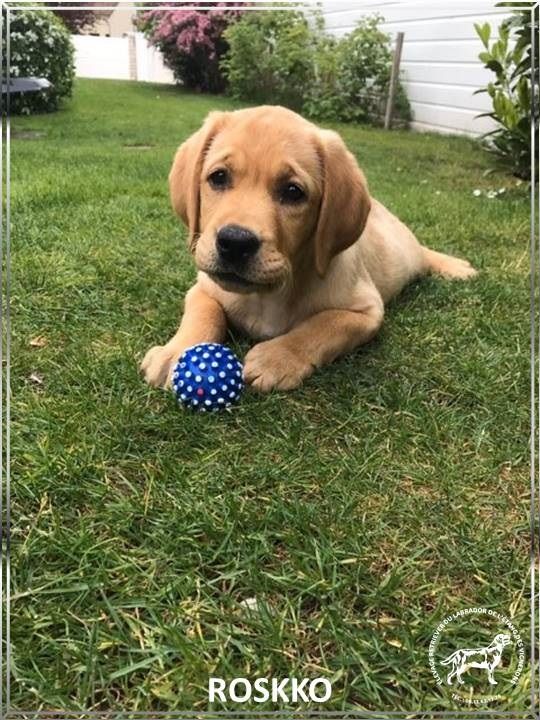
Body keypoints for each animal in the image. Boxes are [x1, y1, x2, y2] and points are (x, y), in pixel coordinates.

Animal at [140, 104, 476, 390]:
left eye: (293, 192)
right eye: (218, 177)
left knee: (423, 254)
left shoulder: (366, 311)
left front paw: (277, 358)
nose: (235, 242)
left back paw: (455, 267)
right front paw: (177, 352)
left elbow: (323, 325)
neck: (267, 295)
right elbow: (203, 312)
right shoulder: (204, 287)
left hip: (405, 252)